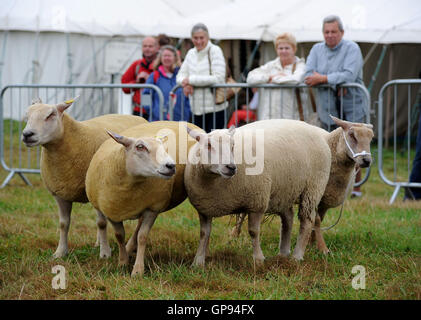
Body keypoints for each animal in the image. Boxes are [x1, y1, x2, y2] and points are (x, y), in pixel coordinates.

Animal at [21, 98, 146, 260]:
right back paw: (98, 242)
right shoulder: (61, 194)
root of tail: (134, 116)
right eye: (27, 115)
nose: (27, 134)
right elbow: (63, 224)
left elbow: (101, 223)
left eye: (51, 115)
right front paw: (60, 252)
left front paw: (105, 253)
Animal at [84, 121, 203, 276]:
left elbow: (142, 236)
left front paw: (138, 270)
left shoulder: (152, 208)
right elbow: (119, 235)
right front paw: (122, 262)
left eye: (163, 147)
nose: (171, 166)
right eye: (140, 146)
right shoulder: (112, 212)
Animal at [184, 119, 332, 266]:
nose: (231, 167)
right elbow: (204, 233)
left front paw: (259, 260)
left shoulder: (257, 202)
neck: (215, 182)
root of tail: (318, 131)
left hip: (313, 187)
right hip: (285, 190)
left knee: (307, 221)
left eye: (233, 145)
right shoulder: (204, 209)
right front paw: (198, 261)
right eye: (208, 145)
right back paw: (283, 253)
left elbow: (253, 231)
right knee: (288, 218)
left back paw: (297, 256)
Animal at [228, 116, 372, 256]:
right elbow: (317, 220)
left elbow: (318, 220)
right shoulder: (314, 192)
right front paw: (322, 248)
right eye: (352, 135)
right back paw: (234, 234)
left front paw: (312, 242)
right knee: (242, 214)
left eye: (371, 138)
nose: (367, 161)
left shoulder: (324, 200)